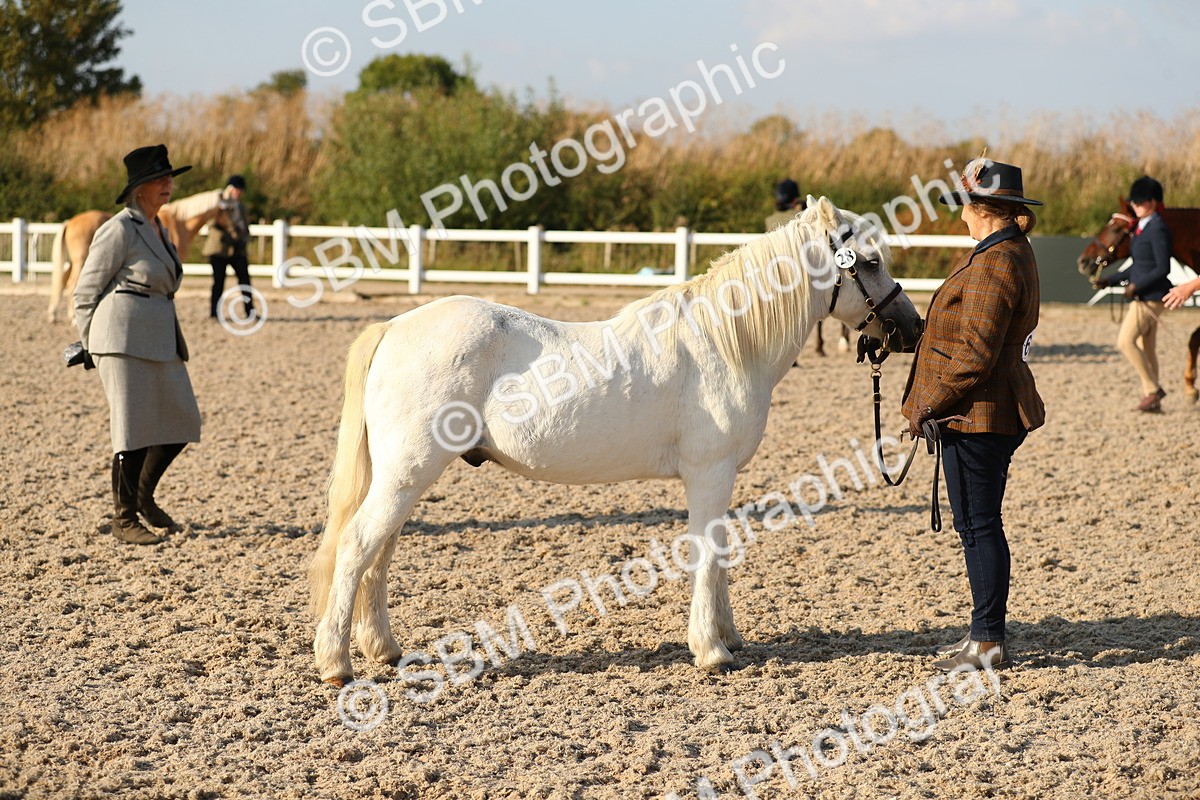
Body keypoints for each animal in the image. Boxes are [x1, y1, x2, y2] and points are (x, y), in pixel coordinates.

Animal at [47, 190, 232, 322]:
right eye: (231, 208)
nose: (235, 227)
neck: (179, 222)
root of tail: (70, 222)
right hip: (81, 261)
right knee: (72, 283)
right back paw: (71, 318)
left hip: (78, 262)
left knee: (64, 281)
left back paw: (54, 314)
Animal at [309, 197, 925, 687]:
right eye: (870, 262)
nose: (913, 328)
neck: (727, 341)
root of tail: (393, 327)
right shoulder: (709, 472)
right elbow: (707, 554)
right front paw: (711, 650)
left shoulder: (721, 477)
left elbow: (721, 553)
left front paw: (730, 637)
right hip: (408, 472)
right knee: (359, 545)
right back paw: (336, 663)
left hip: (405, 476)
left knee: (380, 552)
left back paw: (384, 650)